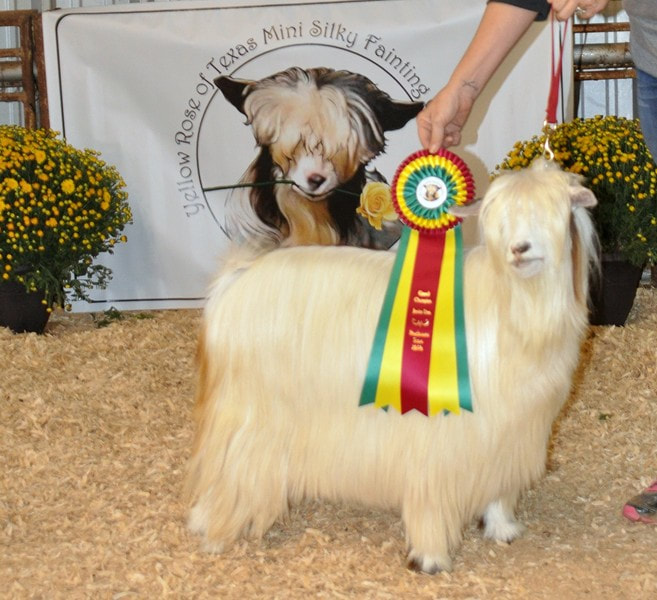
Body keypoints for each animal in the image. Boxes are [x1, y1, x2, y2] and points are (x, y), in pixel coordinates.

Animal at [186, 158, 600, 572]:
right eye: (499, 219)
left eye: (553, 212)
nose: (519, 249)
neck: (511, 307)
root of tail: (235, 280)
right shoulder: (439, 431)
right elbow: (431, 493)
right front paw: (431, 557)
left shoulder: (507, 430)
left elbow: (498, 485)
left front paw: (502, 529)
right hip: (249, 414)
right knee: (226, 467)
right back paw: (213, 529)